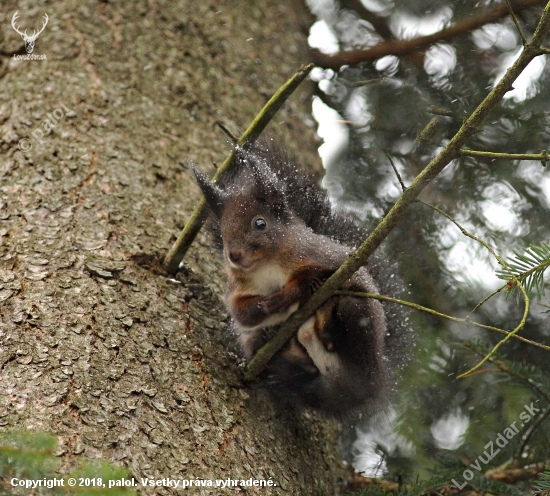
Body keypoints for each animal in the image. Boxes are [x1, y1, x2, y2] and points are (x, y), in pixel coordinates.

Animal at [192, 143, 404, 418]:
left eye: (260, 223)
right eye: (222, 231)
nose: (234, 255)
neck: (266, 265)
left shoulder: (323, 257)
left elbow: (313, 275)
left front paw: (287, 296)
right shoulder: (239, 287)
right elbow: (241, 313)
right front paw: (265, 306)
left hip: (360, 319)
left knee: (348, 314)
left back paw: (326, 331)